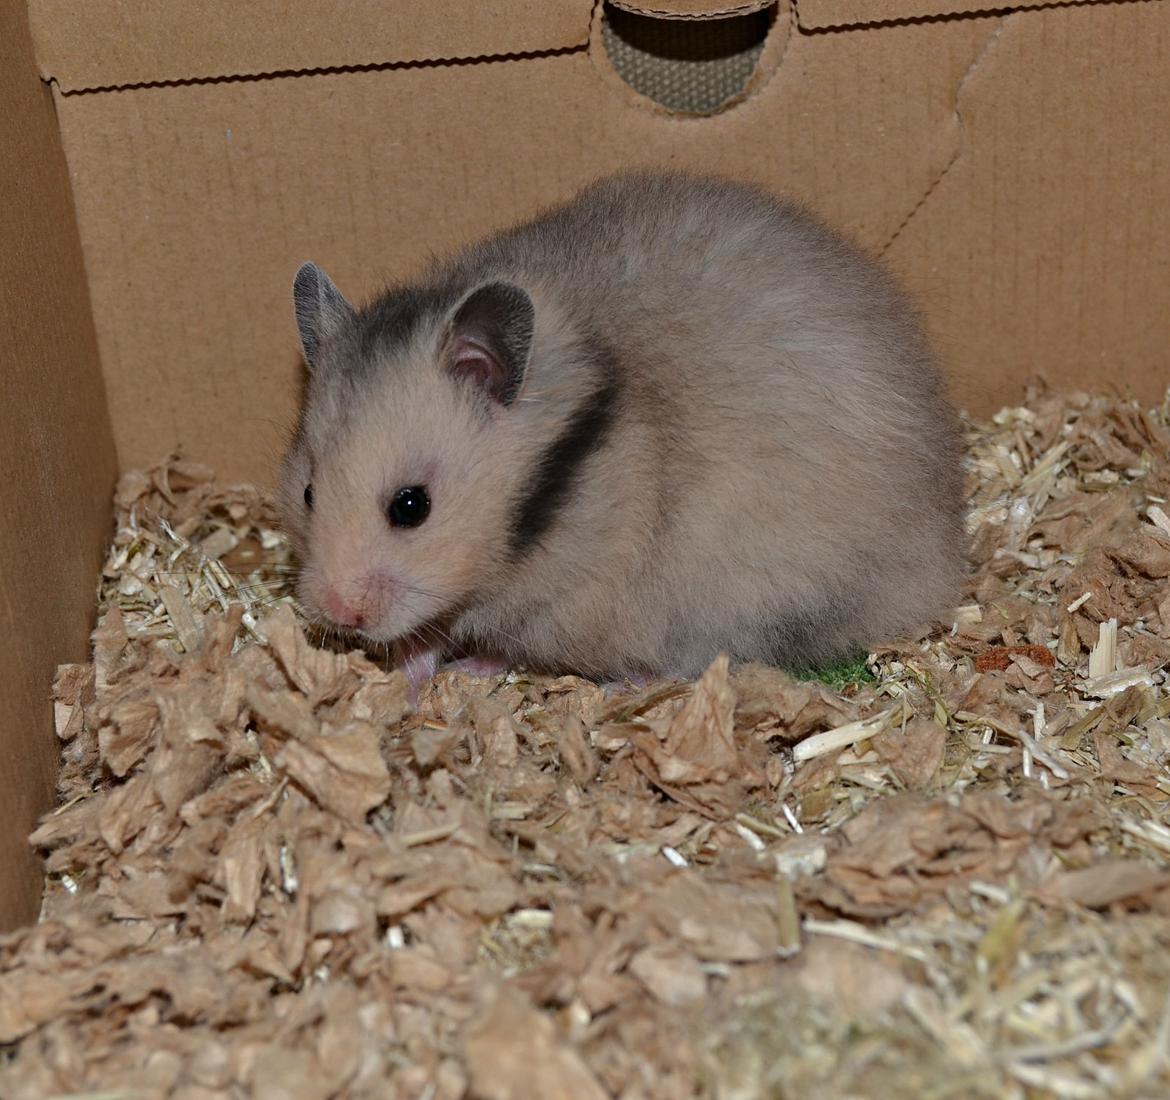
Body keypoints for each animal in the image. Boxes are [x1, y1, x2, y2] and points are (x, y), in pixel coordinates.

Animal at [278, 170, 966, 687]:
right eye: (307, 493)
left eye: (411, 506)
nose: (338, 615)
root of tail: (950, 563)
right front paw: (409, 676)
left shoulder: (569, 605)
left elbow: (499, 643)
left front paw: (455, 671)